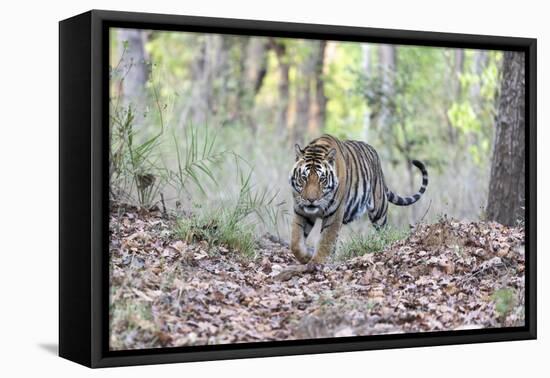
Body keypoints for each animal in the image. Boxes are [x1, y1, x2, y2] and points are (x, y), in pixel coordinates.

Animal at [292, 135, 430, 262]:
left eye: (322, 179)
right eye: (304, 177)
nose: (311, 200)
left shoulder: (334, 213)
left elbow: (326, 240)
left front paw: (317, 262)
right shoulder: (301, 210)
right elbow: (295, 242)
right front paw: (307, 256)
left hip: (379, 211)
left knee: (385, 230)